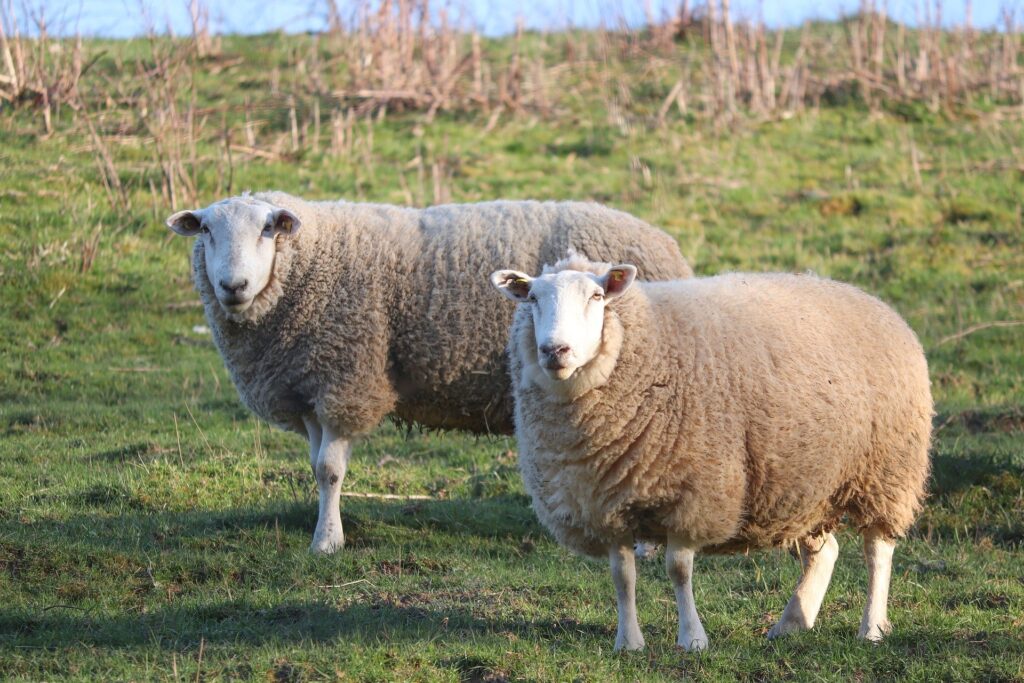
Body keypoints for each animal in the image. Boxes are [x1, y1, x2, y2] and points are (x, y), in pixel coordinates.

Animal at [167, 192, 692, 557]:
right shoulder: (311, 384)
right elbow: (317, 467)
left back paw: (645, 544)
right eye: (206, 230)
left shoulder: (345, 378)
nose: (232, 285)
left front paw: (327, 543)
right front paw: (324, 530)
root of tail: (668, 245)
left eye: (267, 230)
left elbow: (331, 470)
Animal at [491, 252, 933, 651]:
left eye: (597, 297)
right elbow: (622, 576)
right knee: (824, 552)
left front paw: (692, 639)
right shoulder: (605, 504)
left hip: (887, 469)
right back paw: (792, 623)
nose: (555, 351)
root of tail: (870, 299)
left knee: (877, 550)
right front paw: (628, 642)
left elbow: (678, 570)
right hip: (807, 482)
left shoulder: (693, 493)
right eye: (532, 298)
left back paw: (871, 628)